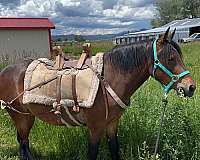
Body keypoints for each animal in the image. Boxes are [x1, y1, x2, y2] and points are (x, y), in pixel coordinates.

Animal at [0, 28, 196, 159]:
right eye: (170, 58)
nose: (191, 87)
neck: (109, 77)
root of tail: (5, 71)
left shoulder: (112, 124)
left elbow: (114, 149)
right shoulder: (95, 127)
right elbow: (92, 153)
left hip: (27, 117)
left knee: (23, 145)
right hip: (21, 118)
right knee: (24, 145)